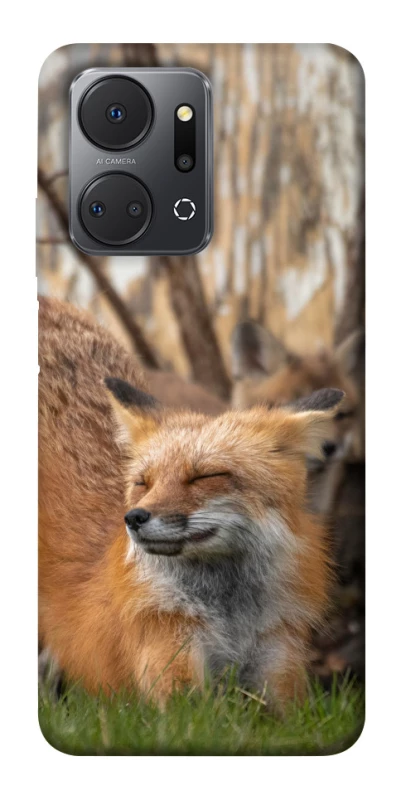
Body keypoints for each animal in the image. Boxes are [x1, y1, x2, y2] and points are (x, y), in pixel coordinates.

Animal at [39, 297, 344, 710]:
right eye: (143, 482)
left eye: (204, 476)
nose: (134, 518)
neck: (229, 617)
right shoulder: (171, 666)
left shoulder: (280, 667)